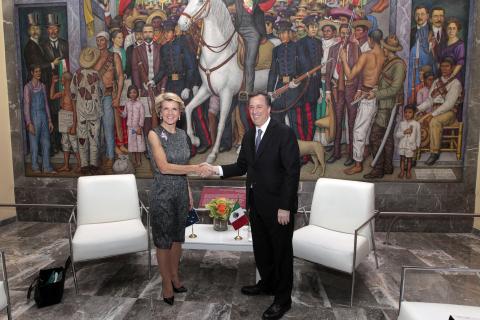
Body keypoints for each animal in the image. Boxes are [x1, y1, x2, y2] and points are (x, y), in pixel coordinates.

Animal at [177, 0, 268, 162]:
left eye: (201, 2)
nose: (182, 23)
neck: (218, 54)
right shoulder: (206, 90)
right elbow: (188, 108)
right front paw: (195, 140)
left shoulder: (226, 94)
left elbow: (220, 123)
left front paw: (213, 154)